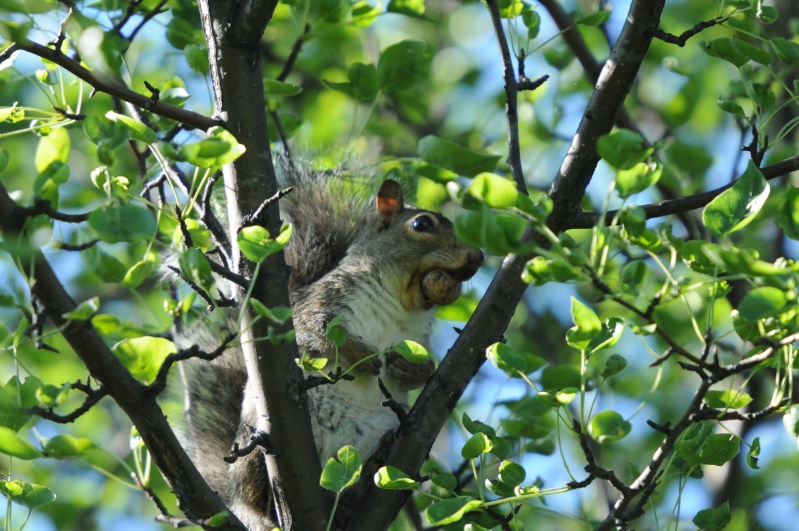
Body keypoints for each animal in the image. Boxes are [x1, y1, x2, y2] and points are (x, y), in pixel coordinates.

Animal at [179, 172, 484, 528]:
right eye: (422, 224)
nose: (477, 257)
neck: (402, 302)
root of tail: (237, 503)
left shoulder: (418, 339)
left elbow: (423, 366)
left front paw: (413, 369)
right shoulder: (317, 303)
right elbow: (313, 334)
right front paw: (360, 356)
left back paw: (363, 481)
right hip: (254, 447)